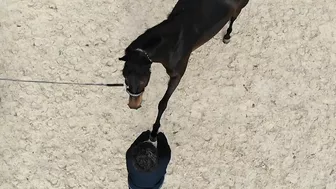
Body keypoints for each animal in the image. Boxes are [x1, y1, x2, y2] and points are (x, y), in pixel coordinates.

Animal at [119, 0, 248, 137]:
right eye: (125, 77)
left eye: (143, 80)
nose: (133, 105)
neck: (172, 42)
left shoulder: (177, 75)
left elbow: (162, 104)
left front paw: (154, 130)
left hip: (240, 7)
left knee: (234, 17)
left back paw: (227, 36)